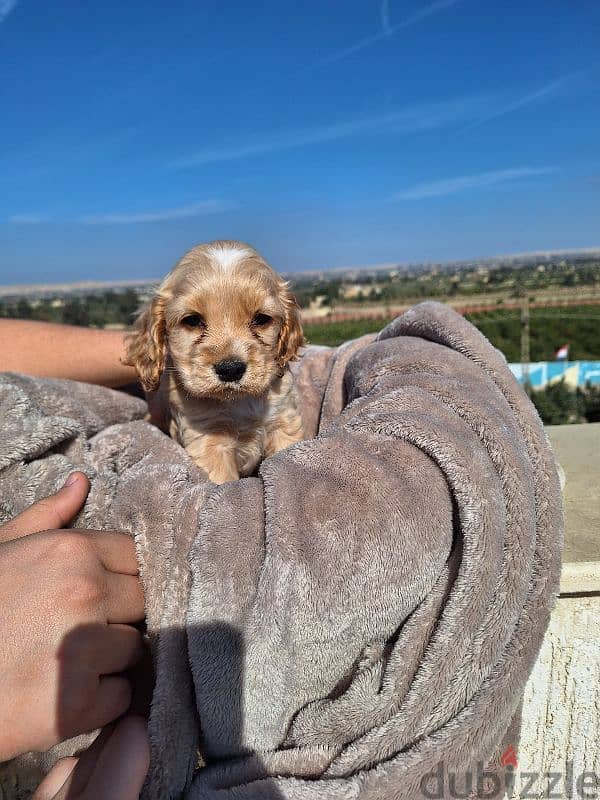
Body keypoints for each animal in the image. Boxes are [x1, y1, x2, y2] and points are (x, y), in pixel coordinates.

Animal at [125, 241, 304, 484]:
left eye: (261, 319)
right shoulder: (209, 439)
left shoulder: (283, 420)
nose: (230, 369)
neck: (238, 402)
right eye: (192, 320)